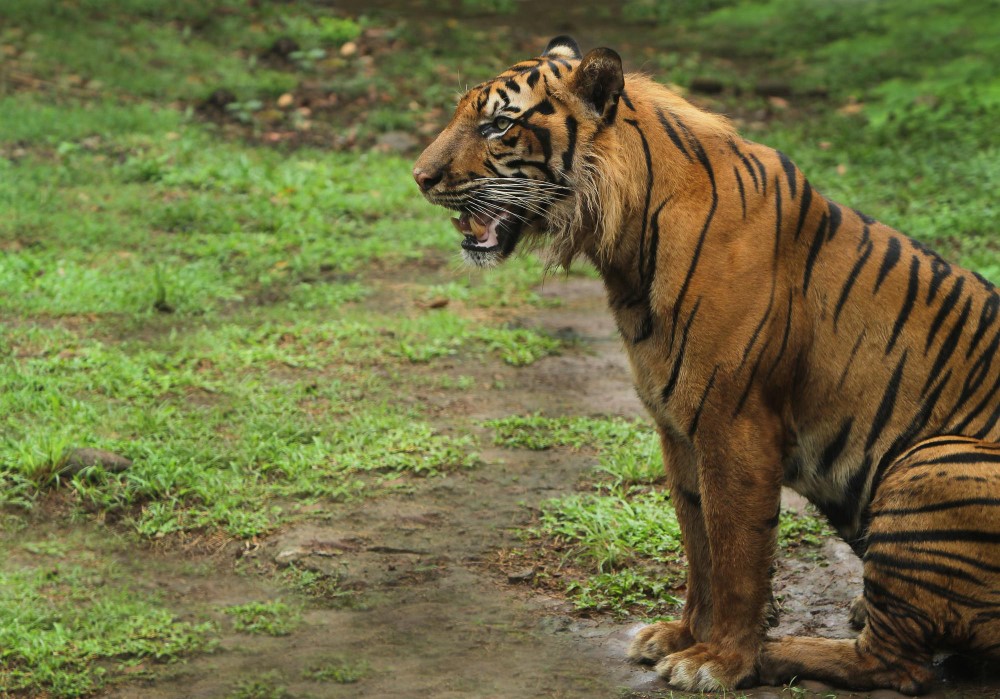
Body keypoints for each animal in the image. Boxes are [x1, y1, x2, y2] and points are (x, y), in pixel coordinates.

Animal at [413, 36, 1000, 692]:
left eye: (498, 125)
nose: (419, 177)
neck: (625, 247)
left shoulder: (734, 425)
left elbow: (739, 555)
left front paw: (721, 661)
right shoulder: (677, 427)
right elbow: (699, 546)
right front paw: (681, 636)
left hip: (932, 462)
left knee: (898, 663)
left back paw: (779, 652)